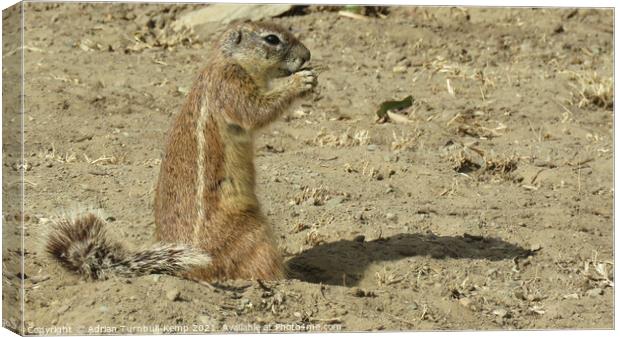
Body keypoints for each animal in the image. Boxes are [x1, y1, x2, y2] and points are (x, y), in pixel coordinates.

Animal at [46, 21, 318, 280]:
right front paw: (301, 81)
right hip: (255, 233)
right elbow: (254, 110)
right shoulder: (230, 84)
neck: (228, 59)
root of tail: (188, 271)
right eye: (272, 39)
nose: (308, 54)